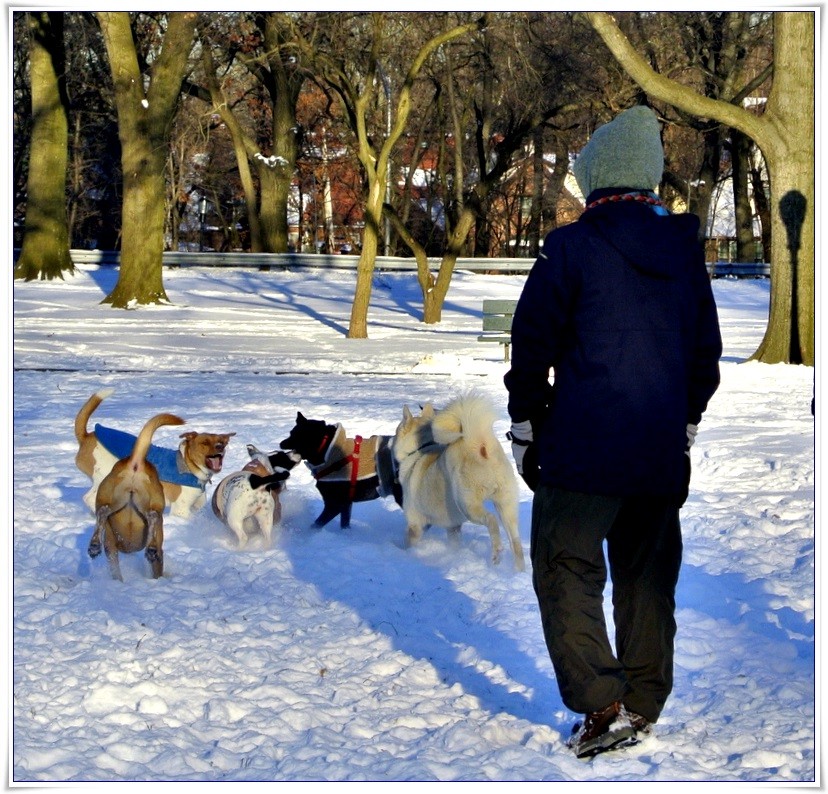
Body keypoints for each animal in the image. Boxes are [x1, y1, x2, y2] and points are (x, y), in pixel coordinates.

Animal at [73, 392, 233, 520]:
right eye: (204, 442)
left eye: (221, 442)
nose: (220, 447)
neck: (189, 465)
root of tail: (86, 437)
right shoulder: (181, 510)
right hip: (106, 477)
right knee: (89, 498)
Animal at [87, 412, 184, 580]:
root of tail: (136, 462)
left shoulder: (110, 545)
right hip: (153, 504)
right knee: (153, 516)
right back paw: (151, 549)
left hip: (110, 498)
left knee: (103, 511)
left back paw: (94, 546)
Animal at [392, 392, 524, 568]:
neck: (420, 449)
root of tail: (480, 444)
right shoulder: (453, 527)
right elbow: (454, 544)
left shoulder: (415, 524)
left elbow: (409, 541)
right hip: (506, 507)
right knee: (516, 544)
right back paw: (518, 570)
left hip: (467, 504)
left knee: (491, 519)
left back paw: (497, 552)